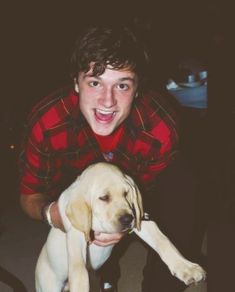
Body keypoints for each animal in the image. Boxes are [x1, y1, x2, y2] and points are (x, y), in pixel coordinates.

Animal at [35, 162, 206, 292]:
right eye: (104, 198)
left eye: (126, 193)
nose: (127, 219)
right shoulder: (76, 237)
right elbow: (79, 271)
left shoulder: (142, 220)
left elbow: (164, 242)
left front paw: (186, 267)